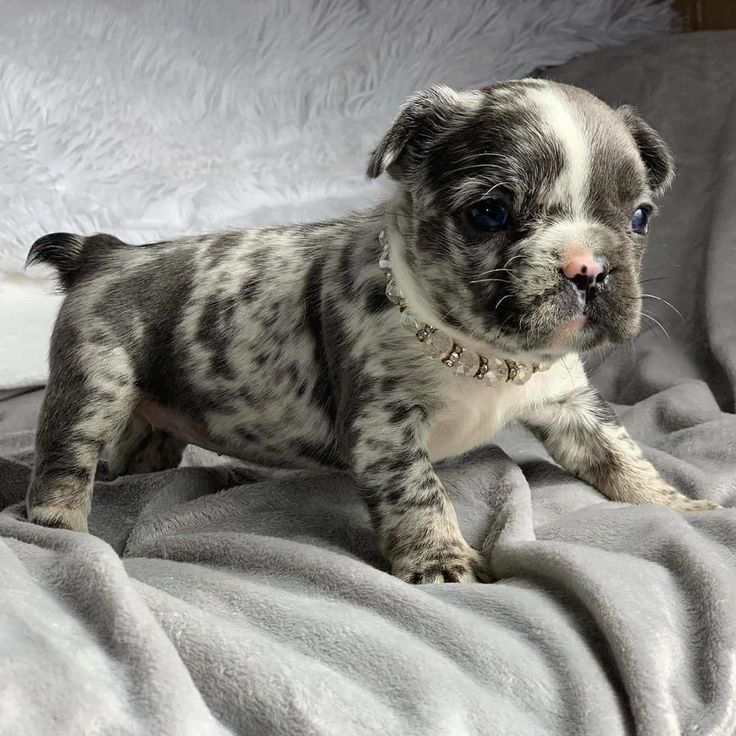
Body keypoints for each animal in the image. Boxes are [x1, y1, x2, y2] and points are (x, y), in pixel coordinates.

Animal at [24, 80, 720, 584]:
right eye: (489, 213)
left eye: (640, 217)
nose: (588, 268)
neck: (481, 352)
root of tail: (104, 252)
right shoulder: (387, 429)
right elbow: (419, 494)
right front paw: (443, 562)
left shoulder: (571, 405)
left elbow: (618, 454)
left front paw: (675, 506)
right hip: (96, 383)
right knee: (65, 458)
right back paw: (62, 525)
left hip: (152, 405)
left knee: (144, 444)